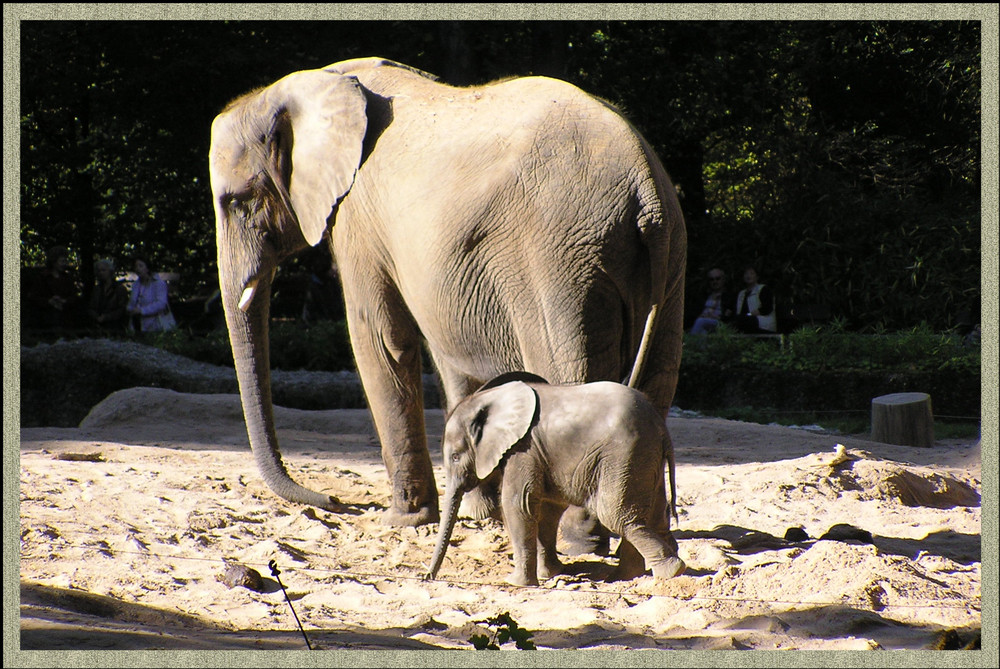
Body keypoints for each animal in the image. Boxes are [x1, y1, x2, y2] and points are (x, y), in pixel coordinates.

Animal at [207, 57, 684, 528]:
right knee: (657, 384)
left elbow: (379, 340)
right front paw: (480, 515)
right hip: (666, 264)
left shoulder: (359, 217)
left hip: (563, 265)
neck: (311, 83)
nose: (333, 502)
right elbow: (448, 357)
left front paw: (405, 520)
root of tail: (644, 184)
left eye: (237, 201)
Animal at [426, 374, 684, 588]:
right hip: (645, 457)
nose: (428, 577)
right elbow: (548, 509)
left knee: (617, 516)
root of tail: (661, 426)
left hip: (625, 454)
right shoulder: (541, 455)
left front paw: (516, 583)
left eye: (455, 457)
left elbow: (518, 504)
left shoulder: (523, 449)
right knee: (655, 515)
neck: (490, 398)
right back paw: (626, 577)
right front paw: (550, 574)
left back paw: (670, 573)